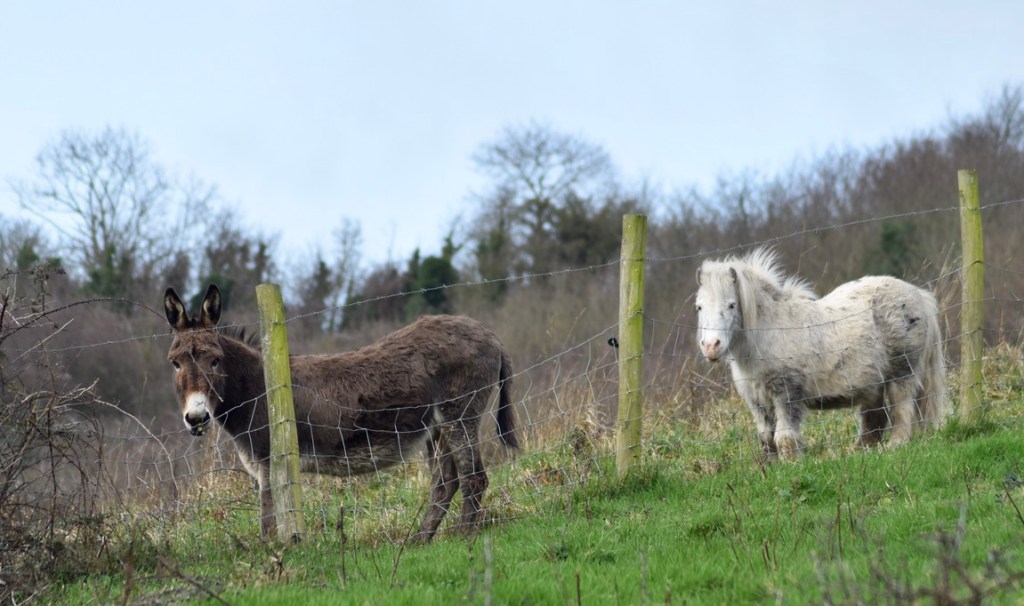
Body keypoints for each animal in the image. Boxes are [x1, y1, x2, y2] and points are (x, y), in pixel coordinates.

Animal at [163, 284, 518, 542]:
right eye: (175, 363)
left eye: (215, 361)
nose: (197, 419)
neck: (256, 388)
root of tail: (491, 335)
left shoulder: (269, 461)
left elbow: (268, 518)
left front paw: (273, 558)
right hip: (436, 428)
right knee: (446, 482)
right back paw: (420, 541)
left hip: (460, 415)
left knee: (474, 478)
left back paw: (464, 536)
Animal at [694, 248, 948, 459]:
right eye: (699, 307)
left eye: (731, 305)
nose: (711, 346)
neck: (769, 331)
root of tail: (919, 295)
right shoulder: (757, 400)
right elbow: (767, 440)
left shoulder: (787, 393)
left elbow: (785, 438)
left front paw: (792, 465)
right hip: (873, 385)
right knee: (874, 421)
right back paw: (859, 453)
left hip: (902, 374)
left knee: (901, 411)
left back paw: (894, 446)